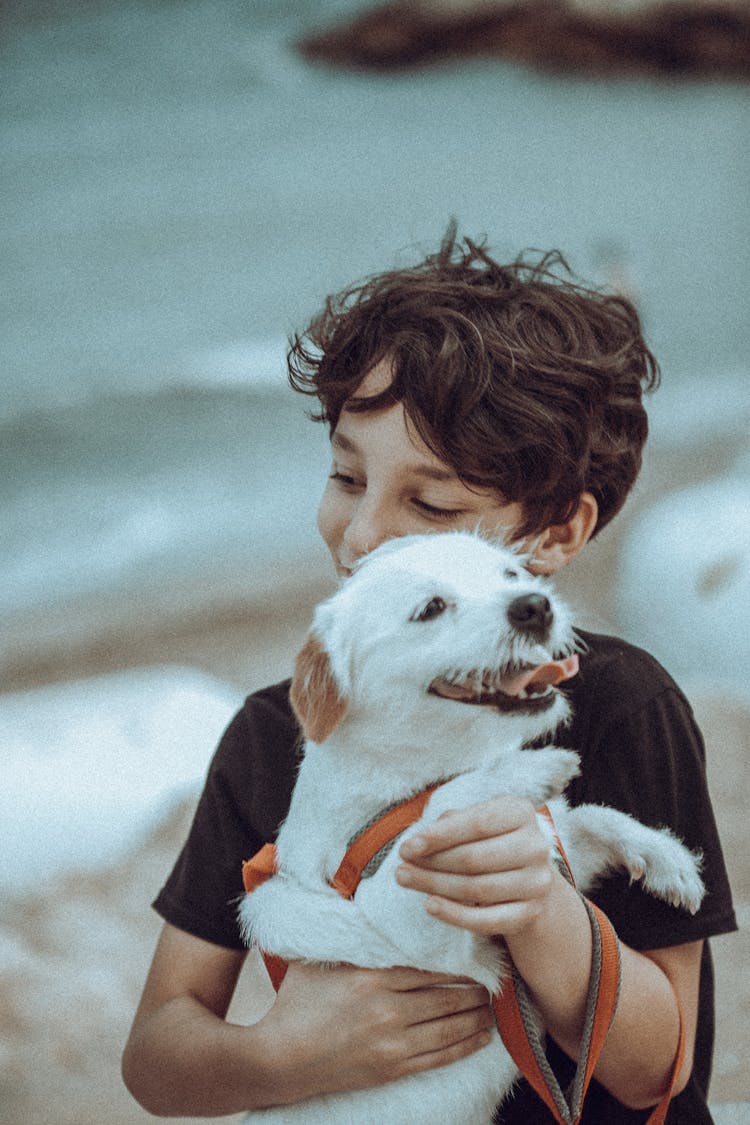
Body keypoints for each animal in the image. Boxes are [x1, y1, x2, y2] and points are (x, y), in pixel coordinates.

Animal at [240, 533, 706, 1125]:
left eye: (512, 575)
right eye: (431, 608)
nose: (535, 605)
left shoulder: (549, 850)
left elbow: (586, 818)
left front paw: (667, 857)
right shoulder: (404, 926)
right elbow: (440, 808)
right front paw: (523, 772)